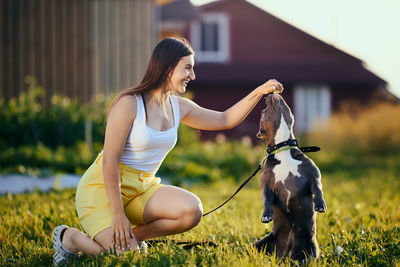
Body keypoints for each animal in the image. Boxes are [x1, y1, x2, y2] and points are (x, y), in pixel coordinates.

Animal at [255, 93, 326, 262]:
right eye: (263, 111)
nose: (269, 94)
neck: (283, 148)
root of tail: (285, 255)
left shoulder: (313, 175)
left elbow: (318, 189)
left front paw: (320, 204)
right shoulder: (266, 184)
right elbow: (266, 198)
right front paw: (266, 215)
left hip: (311, 249)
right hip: (259, 244)